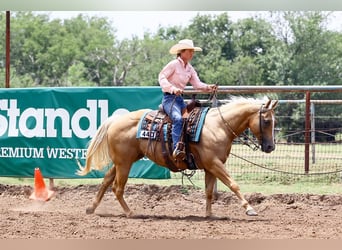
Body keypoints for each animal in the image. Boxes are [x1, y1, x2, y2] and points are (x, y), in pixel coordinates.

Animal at [77, 95, 278, 217]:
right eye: (267, 121)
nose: (270, 147)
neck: (219, 126)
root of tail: (114, 120)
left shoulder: (211, 166)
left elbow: (209, 192)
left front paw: (209, 215)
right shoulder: (215, 164)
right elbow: (233, 184)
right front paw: (250, 209)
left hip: (122, 161)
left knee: (106, 181)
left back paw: (91, 208)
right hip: (124, 163)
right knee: (117, 188)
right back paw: (130, 213)